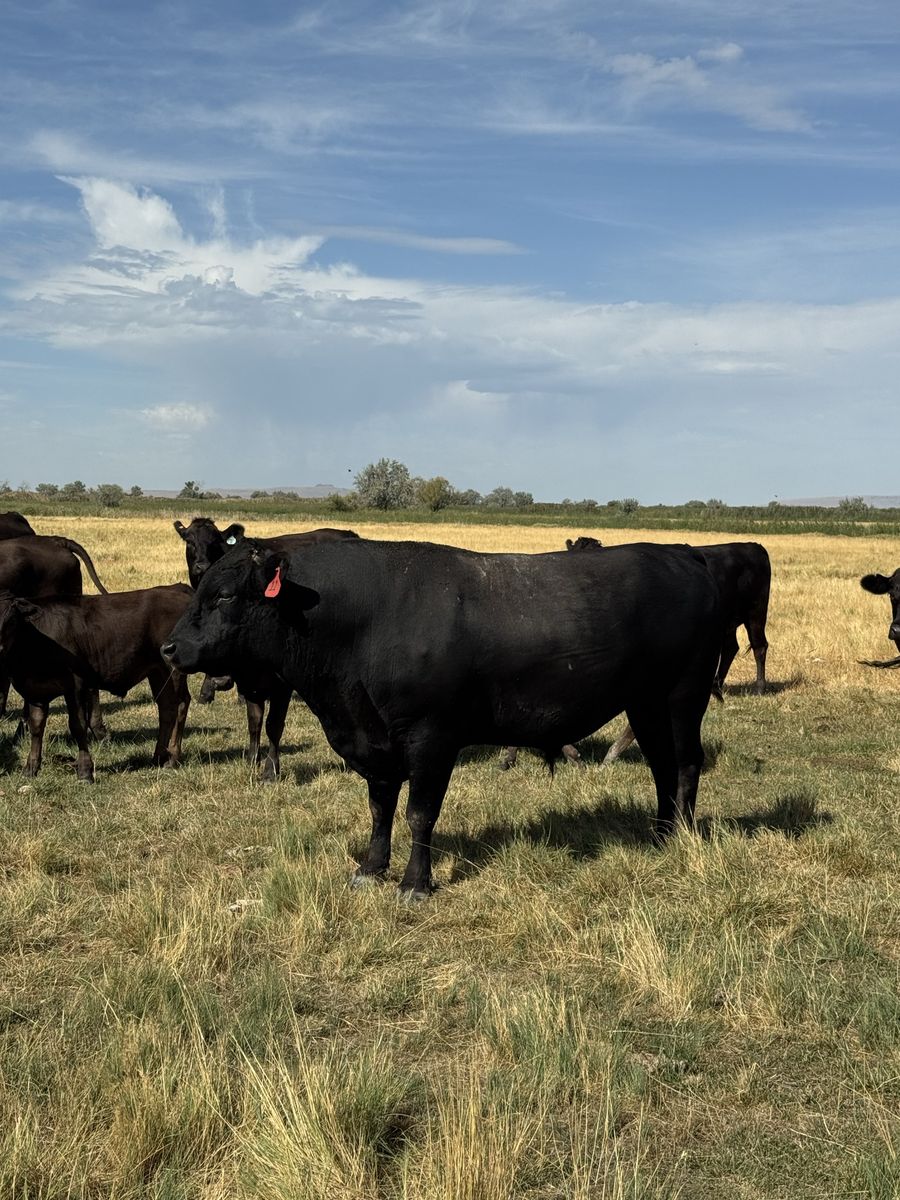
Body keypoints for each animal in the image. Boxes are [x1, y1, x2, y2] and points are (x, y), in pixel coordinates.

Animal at [0, 584, 192, 780]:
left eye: (10, 620)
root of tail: (176, 589)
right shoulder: (35, 692)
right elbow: (36, 726)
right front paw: (31, 768)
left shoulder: (75, 685)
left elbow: (77, 725)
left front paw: (85, 771)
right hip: (157, 672)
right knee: (166, 708)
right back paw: (158, 757)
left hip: (172, 670)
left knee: (179, 705)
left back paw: (172, 758)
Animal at [173, 517, 360, 779]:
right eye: (189, 541)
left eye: (213, 541)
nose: (202, 566)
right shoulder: (248, 677)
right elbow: (254, 721)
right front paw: (253, 758)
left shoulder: (280, 684)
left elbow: (274, 724)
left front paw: (271, 769)